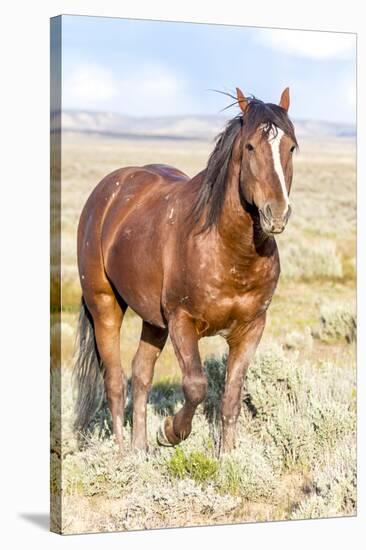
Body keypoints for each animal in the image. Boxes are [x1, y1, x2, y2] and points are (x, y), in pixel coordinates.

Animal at [73, 87, 298, 458]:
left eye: (291, 146)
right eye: (251, 146)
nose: (276, 214)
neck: (229, 250)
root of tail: (110, 190)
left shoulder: (251, 327)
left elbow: (231, 396)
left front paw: (226, 458)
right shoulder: (182, 320)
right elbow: (195, 385)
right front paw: (170, 432)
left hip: (153, 321)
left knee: (141, 372)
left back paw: (139, 450)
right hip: (105, 305)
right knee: (115, 380)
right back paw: (121, 454)